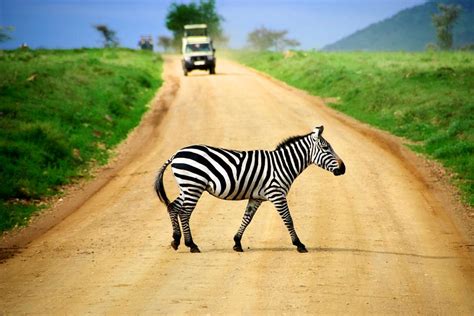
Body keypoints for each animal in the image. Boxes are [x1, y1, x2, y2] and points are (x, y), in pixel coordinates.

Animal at [155, 125, 344, 252]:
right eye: (326, 148)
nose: (343, 169)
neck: (283, 164)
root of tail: (177, 153)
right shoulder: (277, 194)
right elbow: (288, 219)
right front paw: (299, 244)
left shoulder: (257, 197)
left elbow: (247, 219)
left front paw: (237, 243)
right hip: (193, 186)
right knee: (185, 213)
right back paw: (191, 245)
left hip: (186, 187)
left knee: (173, 207)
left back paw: (176, 241)